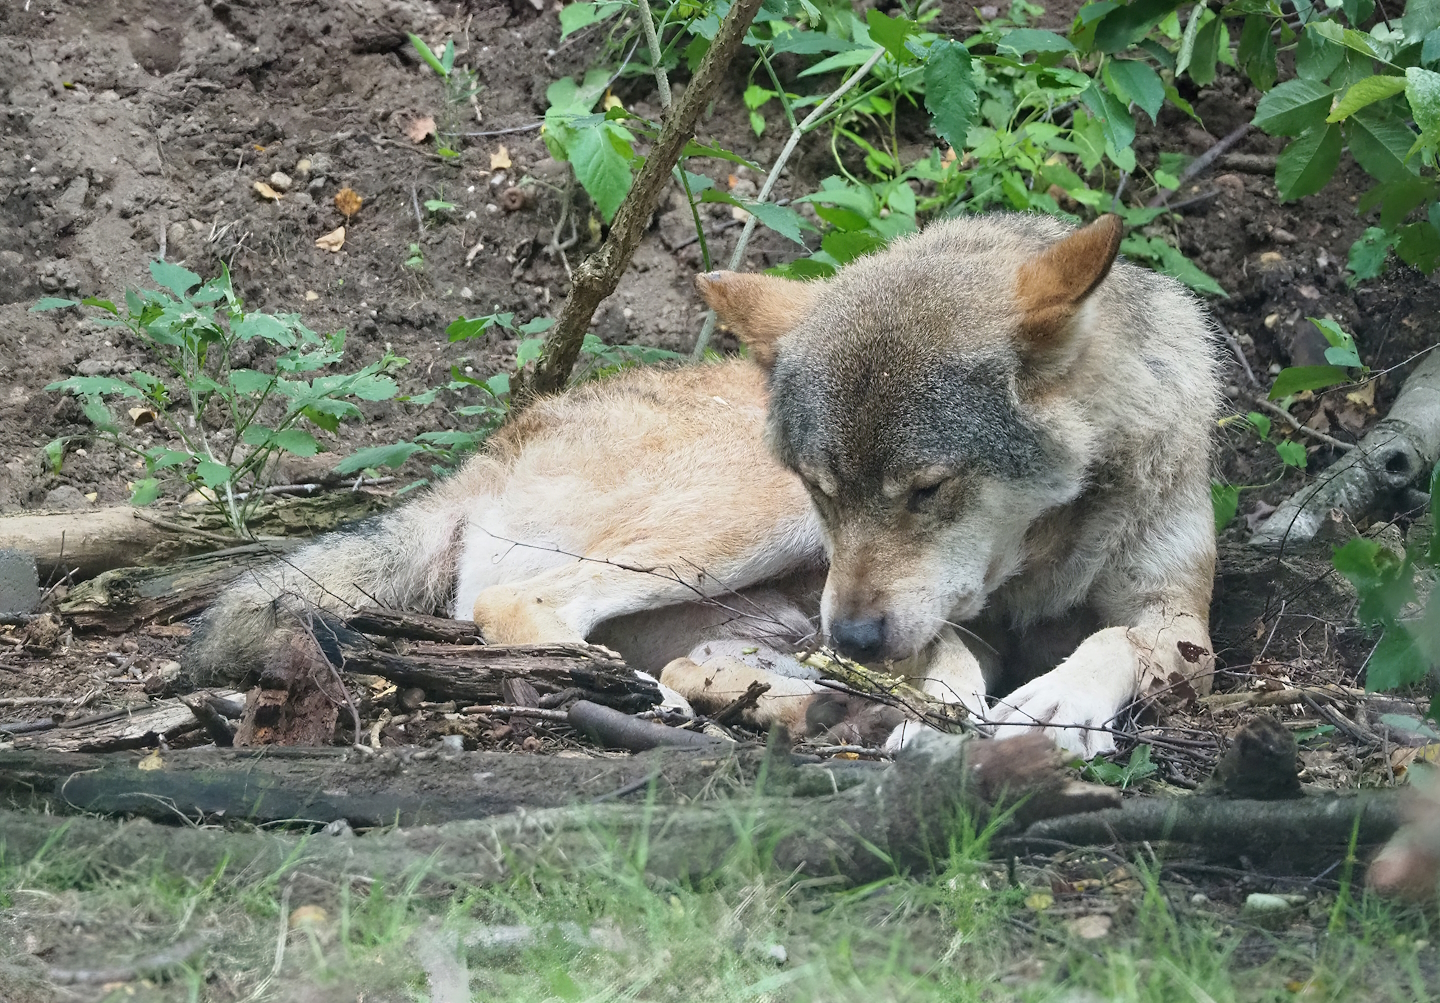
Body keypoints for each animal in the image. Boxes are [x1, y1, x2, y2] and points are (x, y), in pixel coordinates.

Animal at [189, 213, 1218, 755]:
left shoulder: (1179, 611)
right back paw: (640, 695)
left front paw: (1056, 703)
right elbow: (958, 657)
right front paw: (960, 711)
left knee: (701, 661)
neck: (1048, 548)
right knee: (517, 606)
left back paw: (808, 703)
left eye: (927, 490)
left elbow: (1132, 639)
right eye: (823, 488)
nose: (856, 639)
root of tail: (498, 443)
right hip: (741, 535)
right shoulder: (914, 606)